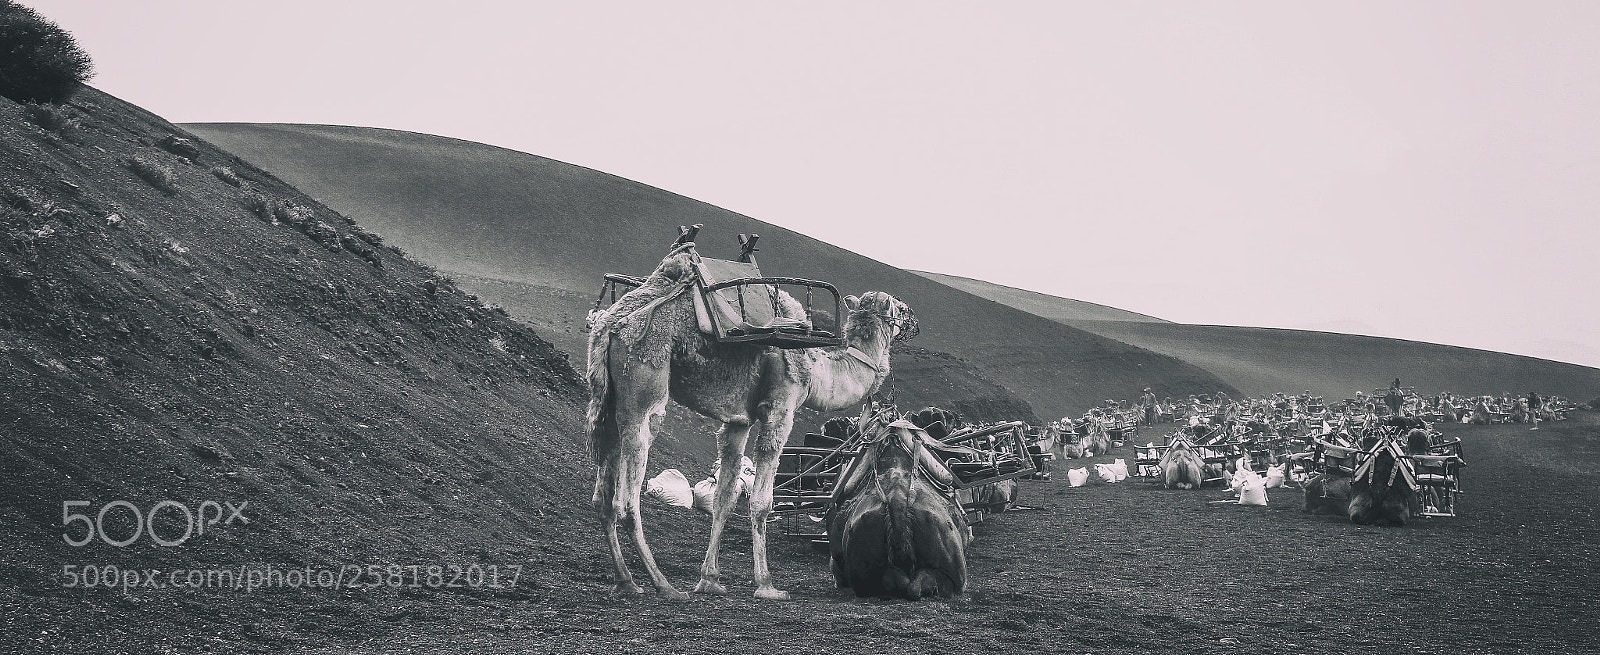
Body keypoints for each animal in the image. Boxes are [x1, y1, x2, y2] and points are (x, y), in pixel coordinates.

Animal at [586, 243, 916, 599]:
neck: (817, 368)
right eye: (896, 305)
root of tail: (610, 325)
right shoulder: (780, 407)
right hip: (644, 381)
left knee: (602, 494)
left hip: (607, 399)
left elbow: (724, 499)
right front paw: (766, 585)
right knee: (627, 497)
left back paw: (626, 581)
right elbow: (760, 502)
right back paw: (664, 585)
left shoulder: (737, 421)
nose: (912, 318)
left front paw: (710, 580)